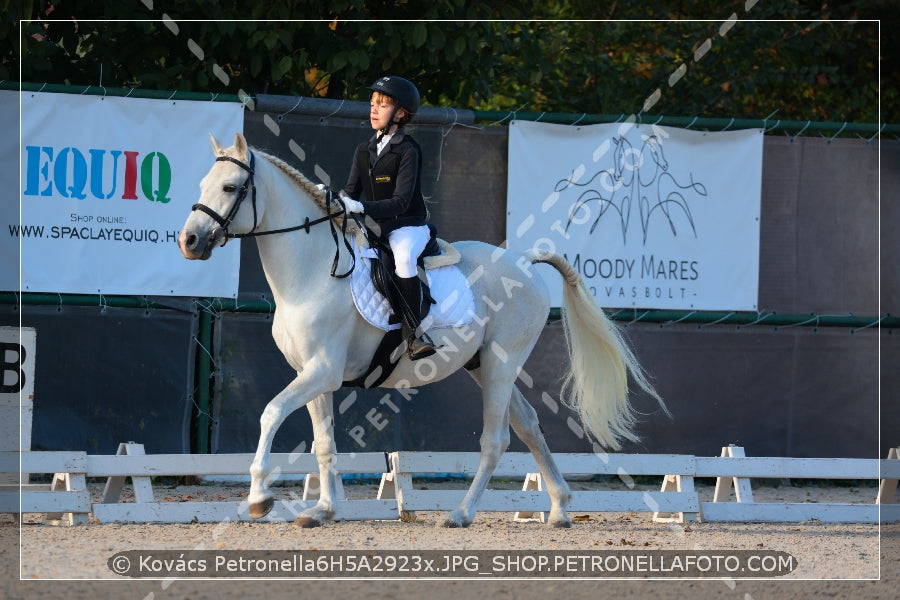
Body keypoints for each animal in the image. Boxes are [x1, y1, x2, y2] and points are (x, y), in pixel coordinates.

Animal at [181, 132, 660, 528]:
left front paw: (259, 498)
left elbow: (271, 412)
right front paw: (324, 511)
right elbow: (323, 442)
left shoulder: (321, 371)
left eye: (229, 188)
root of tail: (522, 260)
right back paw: (559, 508)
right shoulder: (312, 374)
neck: (311, 273)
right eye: (202, 184)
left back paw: (462, 514)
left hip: (501, 364)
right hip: (483, 365)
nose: (189, 242)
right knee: (528, 425)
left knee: (497, 439)